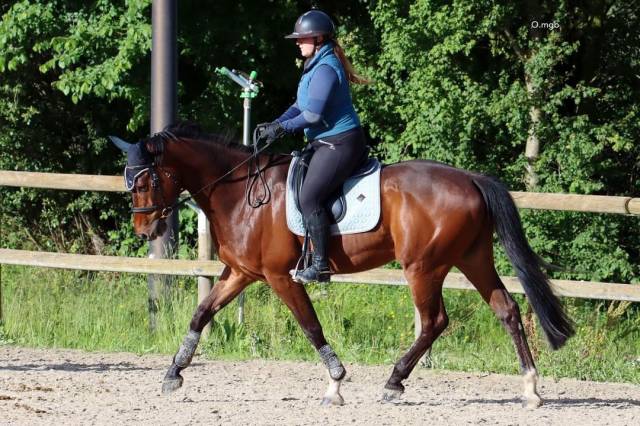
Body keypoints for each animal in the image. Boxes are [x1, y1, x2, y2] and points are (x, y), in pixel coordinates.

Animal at [111, 122, 574, 408]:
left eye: (145, 180)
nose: (144, 229)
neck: (240, 193)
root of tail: (471, 179)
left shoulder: (280, 277)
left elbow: (310, 325)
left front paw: (335, 382)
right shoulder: (241, 273)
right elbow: (201, 314)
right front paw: (173, 373)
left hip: (423, 267)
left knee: (434, 321)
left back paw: (394, 382)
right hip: (471, 258)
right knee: (506, 310)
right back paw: (531, 388)